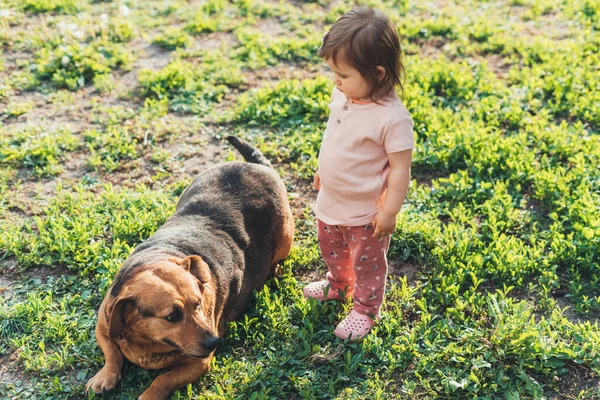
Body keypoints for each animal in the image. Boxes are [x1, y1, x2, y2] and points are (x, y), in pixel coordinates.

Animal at [86, 136, 296, 398]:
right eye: (173, 316)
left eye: (198, 303)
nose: (215, 342)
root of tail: (255, 165)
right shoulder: (102, 324)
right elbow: (112, 352)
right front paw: (104, 375)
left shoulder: (199, 362)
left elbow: (162, 380)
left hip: (285, 237)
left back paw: (274, 270)